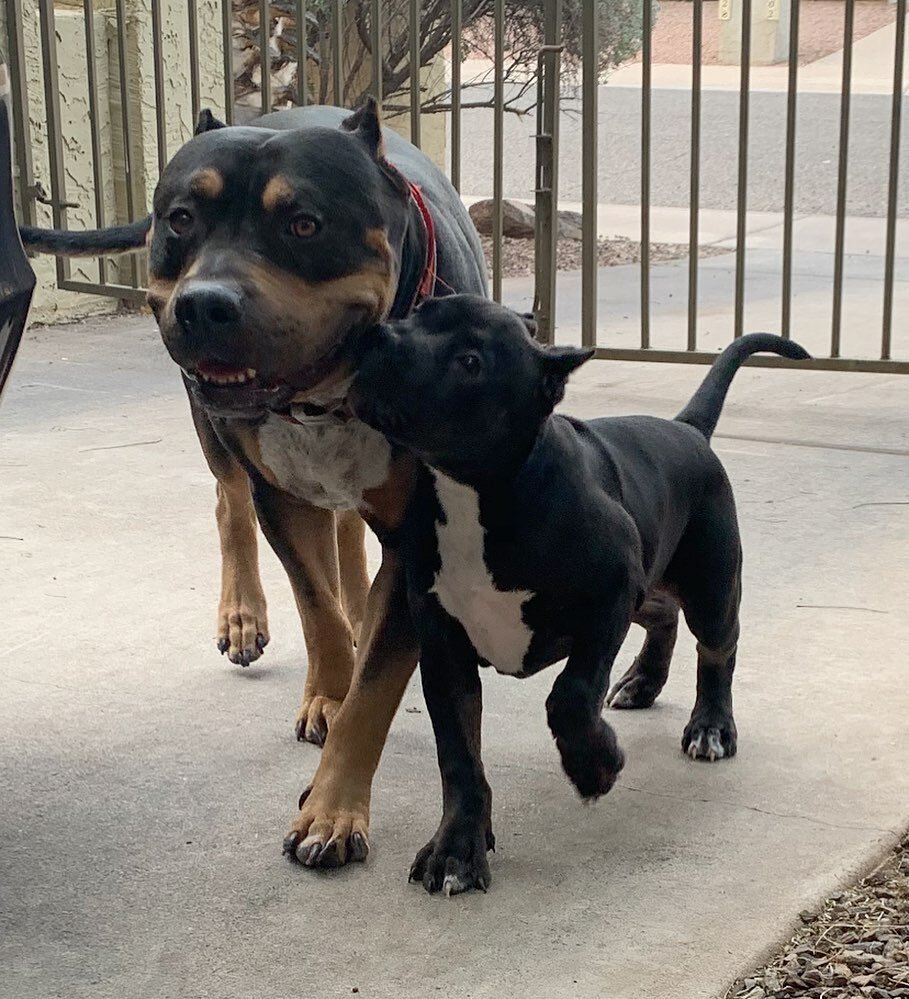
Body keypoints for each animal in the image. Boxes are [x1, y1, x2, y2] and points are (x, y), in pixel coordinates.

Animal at [21, 99, 486, 868]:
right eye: (181, 218)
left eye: (304, 224)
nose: (204, 304)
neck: (329, 395)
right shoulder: (283, 499)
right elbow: (315, 608)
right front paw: (328, 696)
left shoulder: (420, 533)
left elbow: (375, 681)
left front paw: (333, 808)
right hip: (217, 433)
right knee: (230, 500)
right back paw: (246, 615)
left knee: (348, 532)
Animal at [350, 296, 808, 900]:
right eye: (419, 310)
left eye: (471, 360)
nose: (374, 335)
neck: (476, 491)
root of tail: (686, 429)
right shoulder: (444, 649)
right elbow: (459, 756)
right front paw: (456, 850)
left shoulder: (609, 596)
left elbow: (569, 695)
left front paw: (596, 765)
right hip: (650, 581)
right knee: (663, 614)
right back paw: (641, 683)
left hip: (709, 585)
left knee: (717, 648)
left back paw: (710, 726)